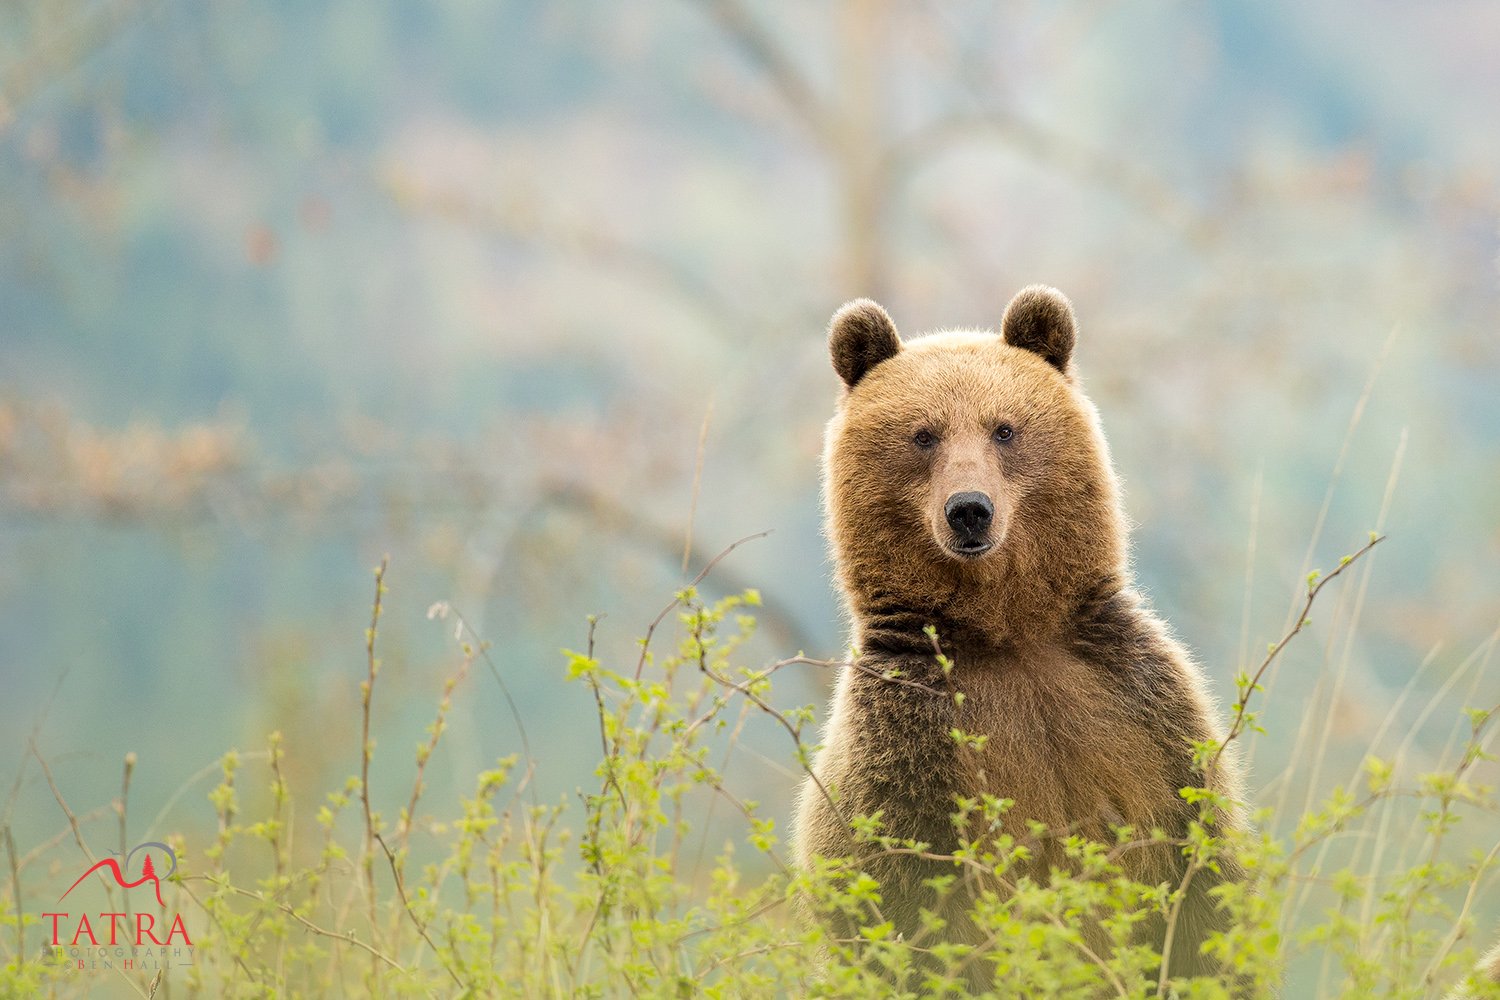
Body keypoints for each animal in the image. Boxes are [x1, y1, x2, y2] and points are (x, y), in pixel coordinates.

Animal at [792, 286, 1247, 987]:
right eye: (923, 434)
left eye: (1003, 428)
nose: (969, 509)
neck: (1006, 636)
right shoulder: (909, 747)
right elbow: (903, 909)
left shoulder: (1142, 713)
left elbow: (1202, 887)